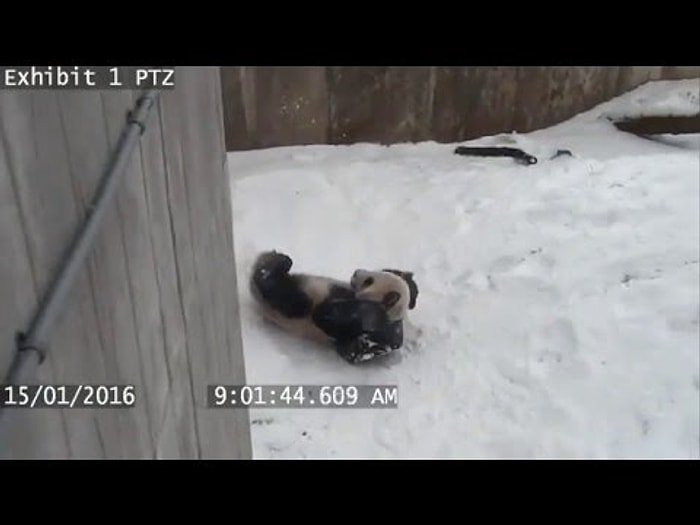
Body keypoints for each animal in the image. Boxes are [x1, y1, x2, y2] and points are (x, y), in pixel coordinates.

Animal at [249, 250, 417, 364]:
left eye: (369, 280)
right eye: (374, 274)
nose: (356, 272)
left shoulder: (379, 336)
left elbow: (350, 347)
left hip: (293, 297)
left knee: (282, 292)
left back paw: (275, 264)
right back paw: (279, 259)